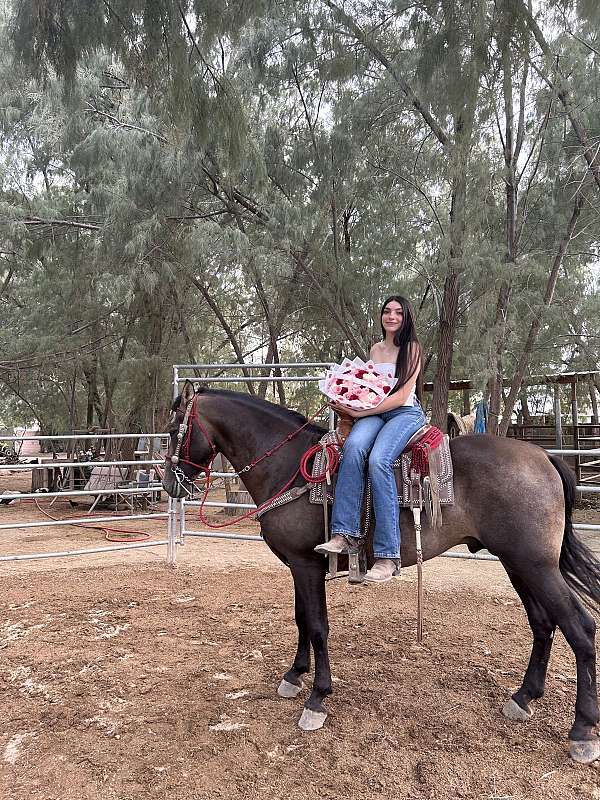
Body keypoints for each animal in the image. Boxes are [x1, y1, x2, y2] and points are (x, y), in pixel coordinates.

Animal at [161, 382, 600, 764]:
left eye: (170, 431)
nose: (168, 484)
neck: (289, 467)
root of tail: (544, 457)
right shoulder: (298, 567)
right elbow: (301, 619)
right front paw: (294, 676)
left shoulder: (305, 565)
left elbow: (317, 626)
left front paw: (317, 698)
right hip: (516, 563)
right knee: (543, 623)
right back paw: (523, 697)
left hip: (535, 565)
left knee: (579, 628)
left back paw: (582, 731)